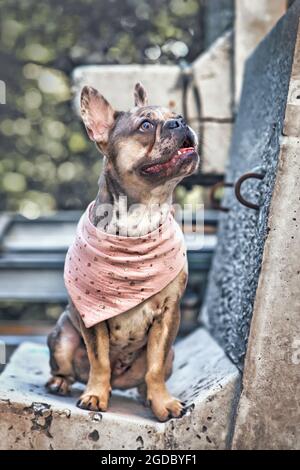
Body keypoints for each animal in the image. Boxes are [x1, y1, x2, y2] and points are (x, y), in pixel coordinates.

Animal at [47, 81, 199, 422]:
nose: (180, 122)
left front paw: (163, 402)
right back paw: (60, 382)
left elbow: (155, 367)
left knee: (152, 371)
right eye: (145, 125)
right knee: (67, 365)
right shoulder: (92, 321)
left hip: (172, 352)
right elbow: (99, 360)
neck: (141, 217)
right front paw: (95, 395)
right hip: (62, 335)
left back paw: (146, 395)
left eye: (176, 116)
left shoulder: (168, 316)